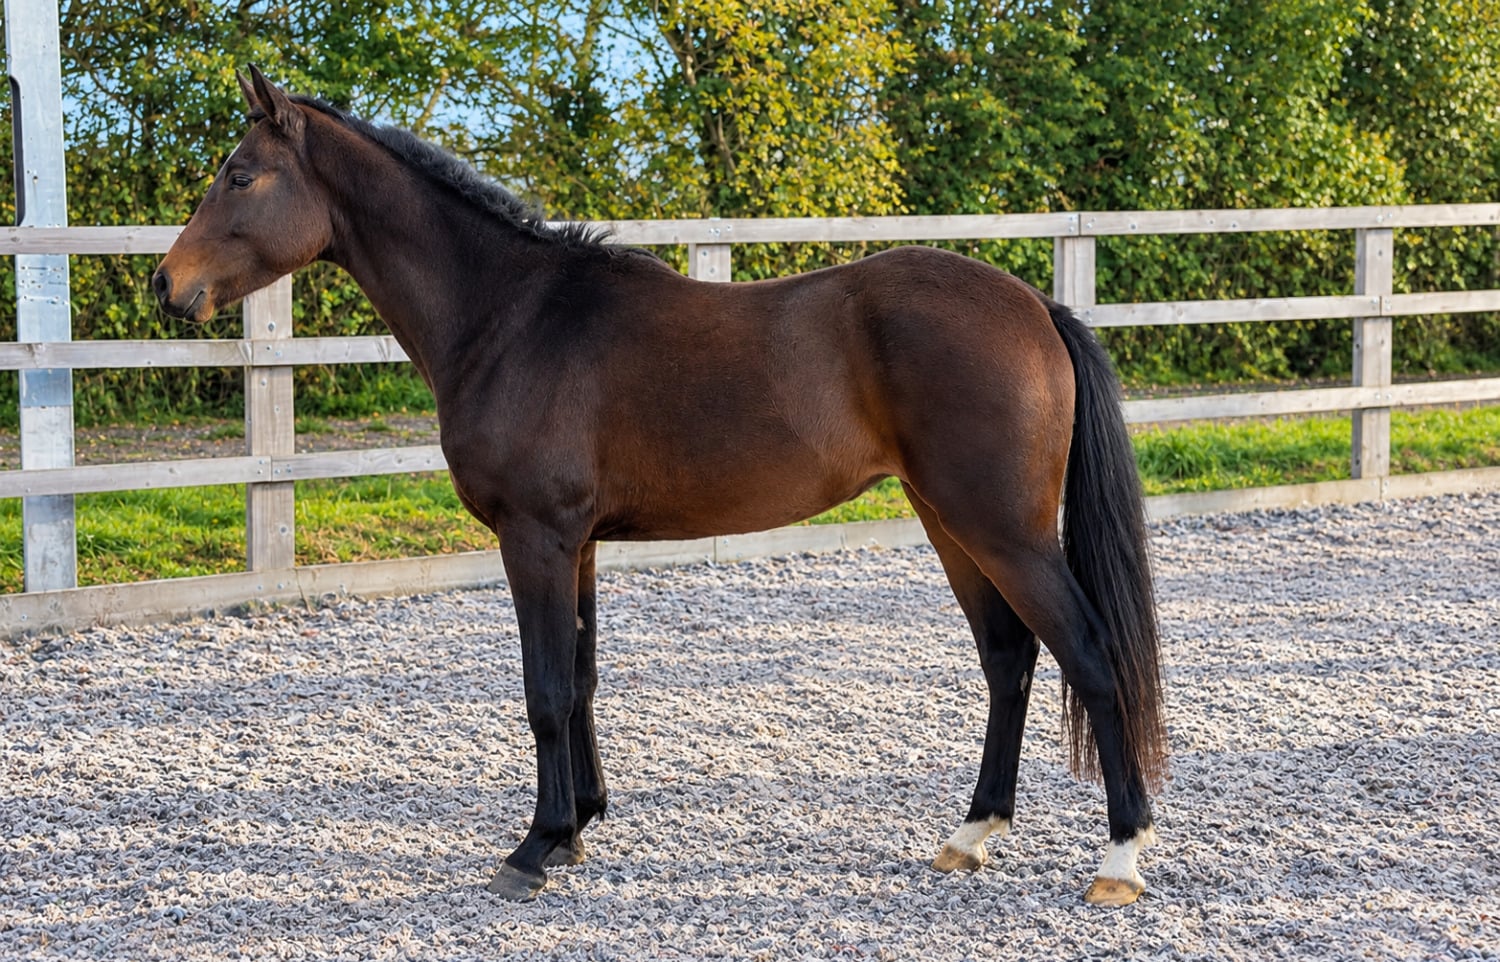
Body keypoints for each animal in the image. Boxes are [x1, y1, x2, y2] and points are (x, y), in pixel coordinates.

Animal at [154, 67, 1167, 906]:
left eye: (240, 175)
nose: (168, 285)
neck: (513, 316)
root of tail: (1036, 305)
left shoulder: (535, 537)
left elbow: (544, 690)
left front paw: (535, 847)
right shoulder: (578, 544)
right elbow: (582, 678)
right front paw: (579, 827)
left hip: (1003, 529)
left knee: (1087, 653)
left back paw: (1119, 857)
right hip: (950, 522)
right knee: (1008, 658)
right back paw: (972, 833)